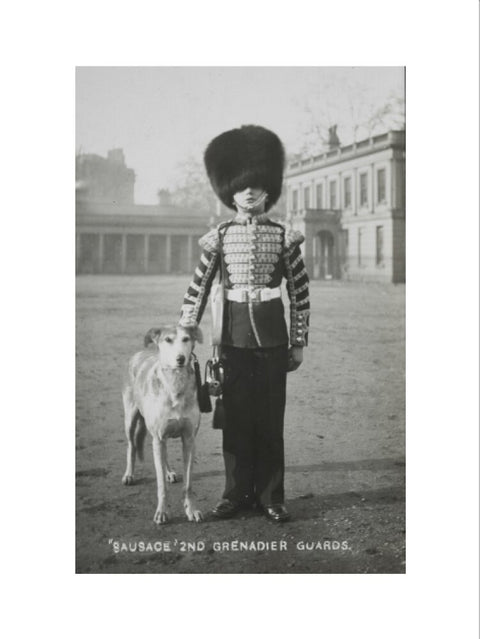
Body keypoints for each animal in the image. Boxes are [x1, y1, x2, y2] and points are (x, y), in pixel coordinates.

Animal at [123, 324, 203, 524]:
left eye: (186, 339)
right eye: (168, 340)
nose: (181, 359)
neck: (175, 384)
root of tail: (141, 352)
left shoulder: (189, 439)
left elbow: (188, 484)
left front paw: (191, 510)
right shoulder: (158, 438)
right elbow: (161, 486)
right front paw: (161, 512)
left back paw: (169, 472)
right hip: (130, 419)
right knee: (131, 446)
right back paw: (129, 474)